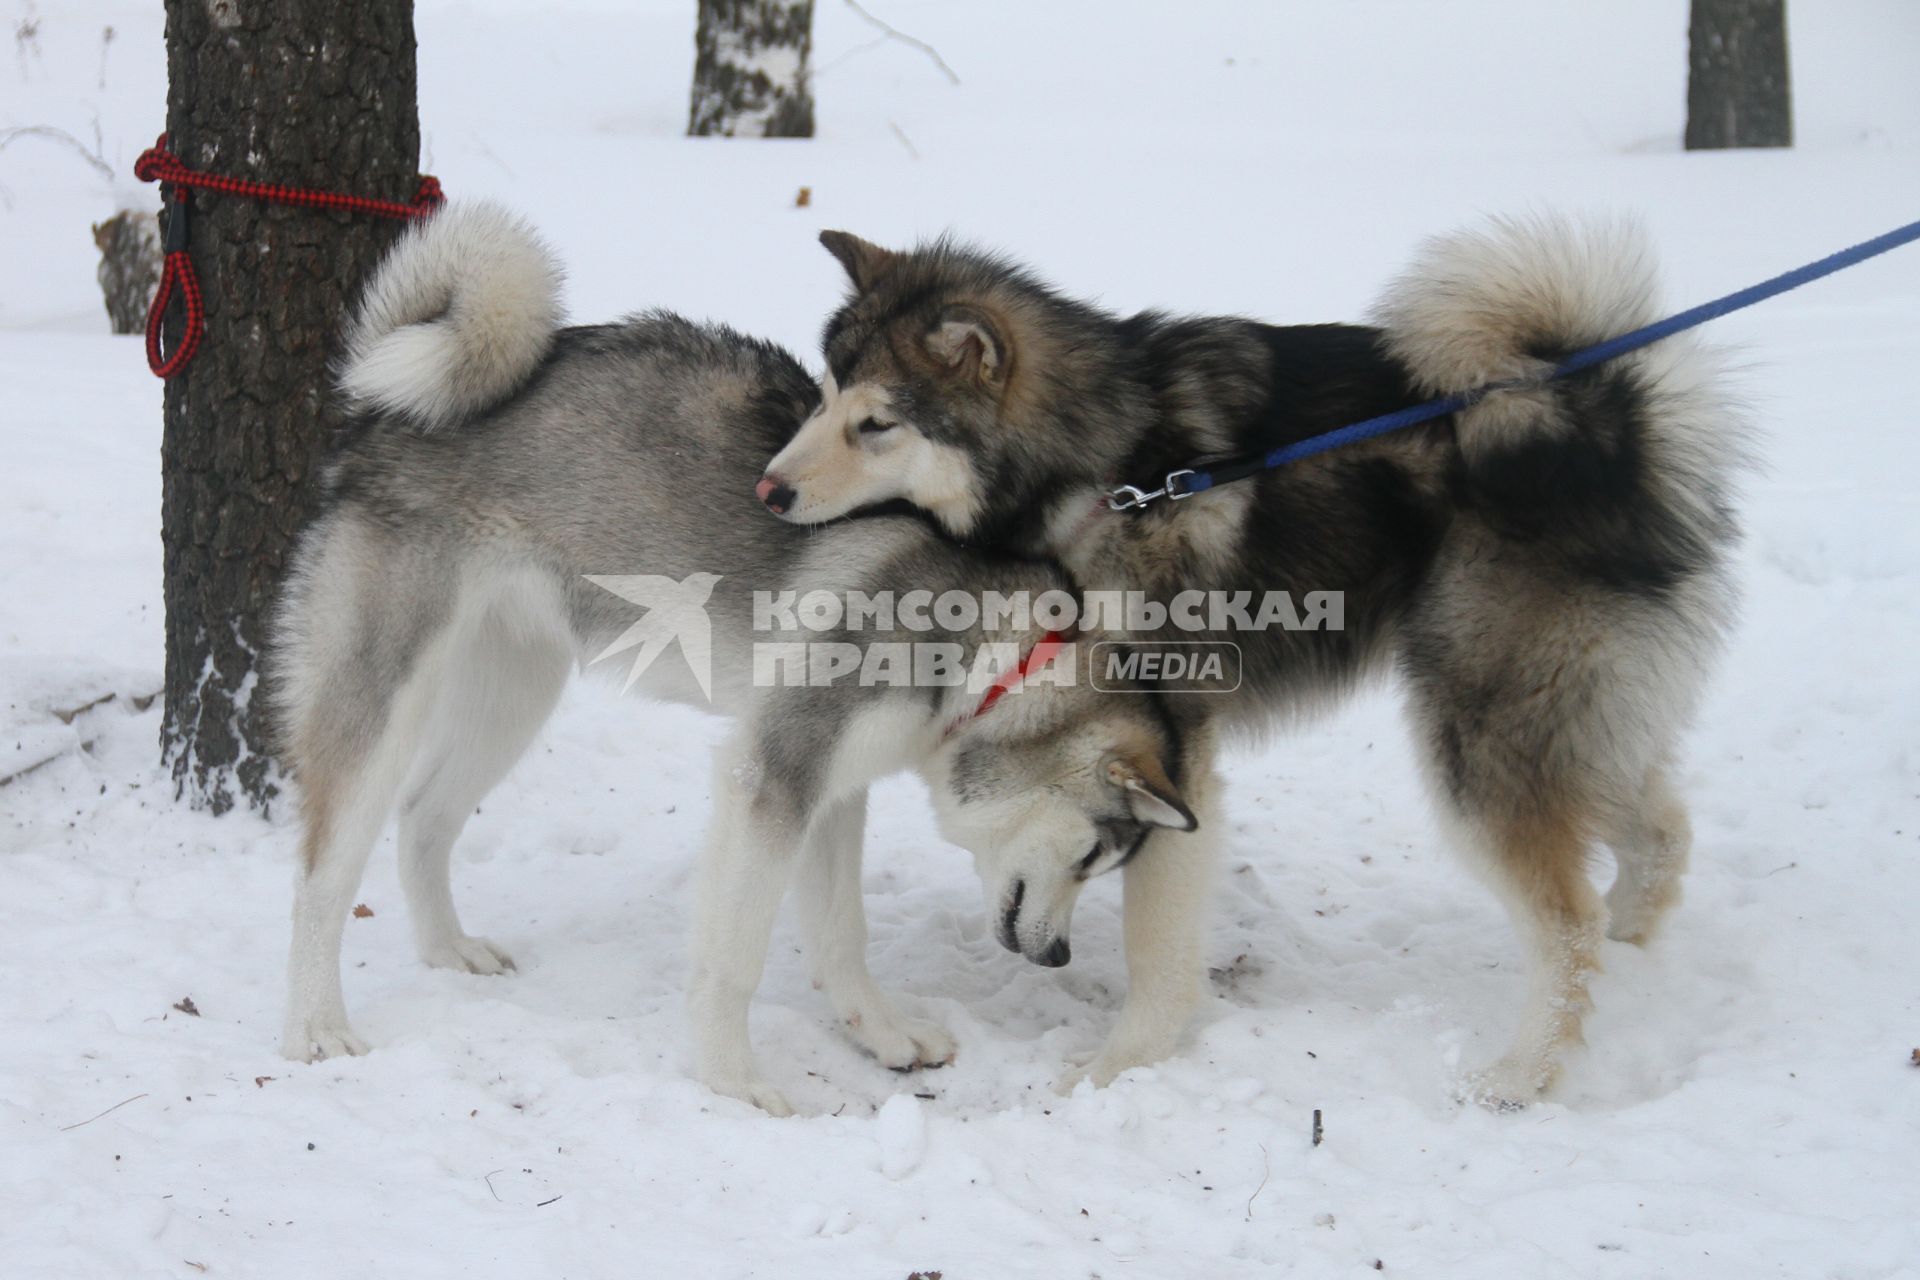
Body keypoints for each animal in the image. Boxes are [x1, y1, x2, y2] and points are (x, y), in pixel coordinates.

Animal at [272, 205, 1205, 1113]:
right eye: (1092, 857)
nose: (1056, 959)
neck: (991, 652)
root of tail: (389, 415)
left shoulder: (833, 791)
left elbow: (842, 935)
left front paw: (883, 1035)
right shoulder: (774, 777)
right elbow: (734, 961)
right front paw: (735, 1083)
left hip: (513, 693)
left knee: (424, 816)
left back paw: (448, 951)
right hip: (383, 698)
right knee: (323, 872)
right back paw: (317, 1027)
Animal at [756, 220, 1751, 1105]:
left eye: (876, 423)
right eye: (825, 396)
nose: (769, 488)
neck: (1103, 465)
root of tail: (1612, 428)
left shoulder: (1170, 740)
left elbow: (1156, 943)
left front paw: (1117, 1071)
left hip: (1478, 737)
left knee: (1567, 921)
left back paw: (1521, 1075)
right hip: (1571, 721)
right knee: (1658, 831)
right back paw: (1631, 951)